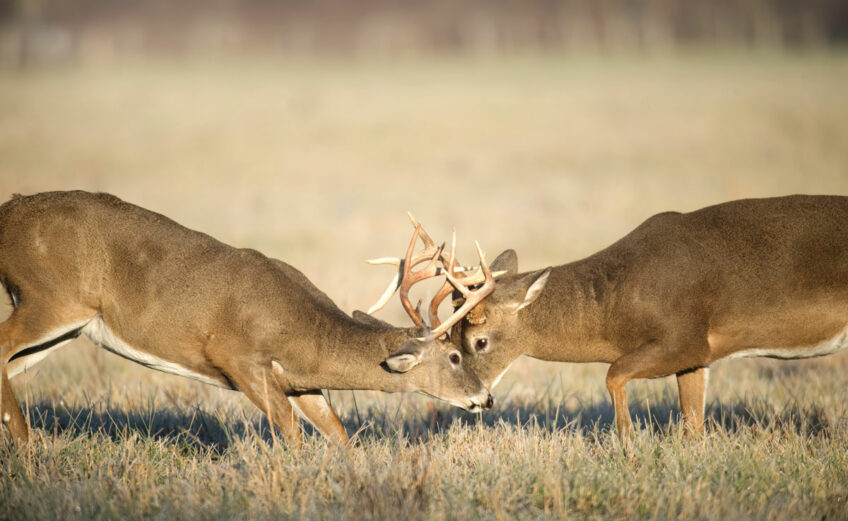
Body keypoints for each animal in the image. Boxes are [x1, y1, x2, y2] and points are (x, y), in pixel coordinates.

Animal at [0, 191, 496, 446]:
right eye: (455, 356)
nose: (486, 399)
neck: (305, 332)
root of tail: (9, 211)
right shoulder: (237, 358)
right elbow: (293, 435)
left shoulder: (301, 381)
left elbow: (338, 434)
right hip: (51, 297)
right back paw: (27, 449)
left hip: (66, 327)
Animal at [372, 195, 848, 438]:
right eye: (450, 343)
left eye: (479, 341)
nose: (480, 400)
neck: (616, 307)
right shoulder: (697, 357)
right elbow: (692, 426)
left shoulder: (683, 337)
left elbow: (613, 375)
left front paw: (629, 449)